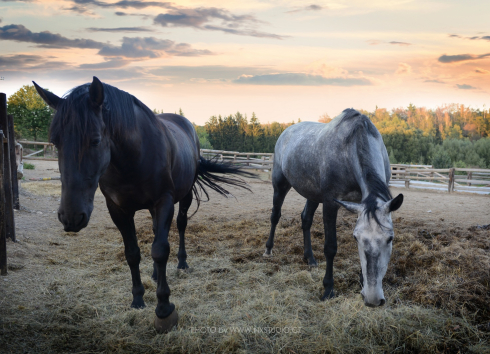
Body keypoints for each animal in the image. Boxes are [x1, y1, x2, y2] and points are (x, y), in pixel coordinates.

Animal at [34, 76, 255, 332]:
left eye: (95, 140)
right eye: (55, 141)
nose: (71, 217)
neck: (132, 158)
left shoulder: (164, 201)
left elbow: (160, 250)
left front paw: (164, 310)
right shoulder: (118, 210)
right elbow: (132, 253)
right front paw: (138, 299)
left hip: (185, 196)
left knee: (180, 226)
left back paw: (182, 263)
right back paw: (155, 274)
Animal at [264, 108, 402, 306]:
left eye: (390, 238)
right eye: (356, 238)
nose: (373, 299)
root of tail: (286, 131)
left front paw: (362, 283)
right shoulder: (330, 203)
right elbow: (330, 247)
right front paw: (328, 289)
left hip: (312, 194)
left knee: (305, 219)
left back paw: (310, 258)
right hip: (280, 184)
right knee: (275, 215)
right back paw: (268, 249)